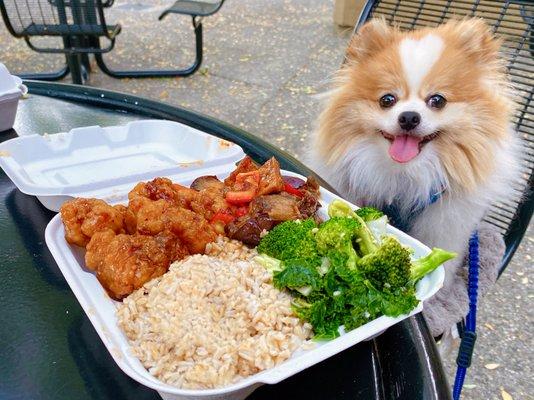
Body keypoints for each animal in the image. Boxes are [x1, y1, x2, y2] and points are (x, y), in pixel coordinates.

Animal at [310, 18, 524, 334]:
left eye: (438, 100)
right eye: (387, 99)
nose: (409, 116)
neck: (406, 176)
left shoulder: (445, 223)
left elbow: (445, 265)